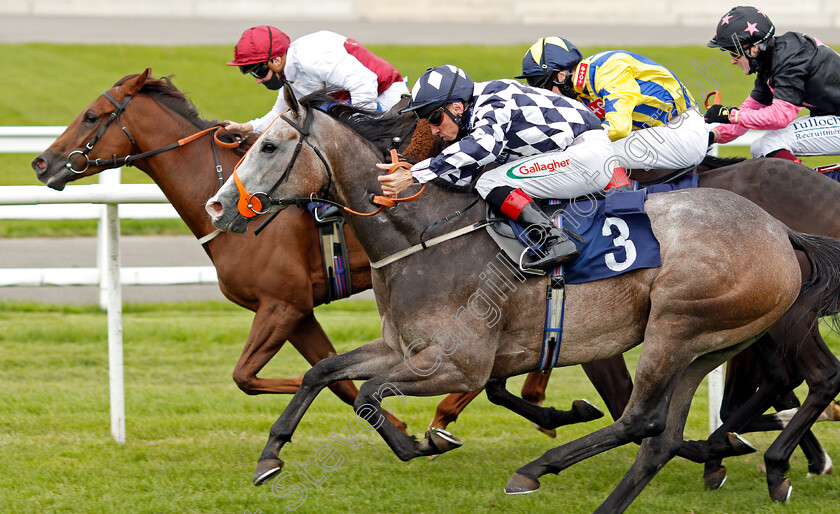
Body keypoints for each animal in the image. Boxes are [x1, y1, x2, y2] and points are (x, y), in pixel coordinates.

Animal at [207, 86, 840, 510]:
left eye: (270, 146)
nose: (217, 207)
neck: (423, 235)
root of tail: (779, 231)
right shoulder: (406, 347)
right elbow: (325, 373)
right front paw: (271, 456)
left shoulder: (458, 362)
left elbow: (368, 392)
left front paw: (417, 444)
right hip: (706, 345)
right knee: (662, 435)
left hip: (677, 326)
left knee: (644, 419)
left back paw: (539, 469)